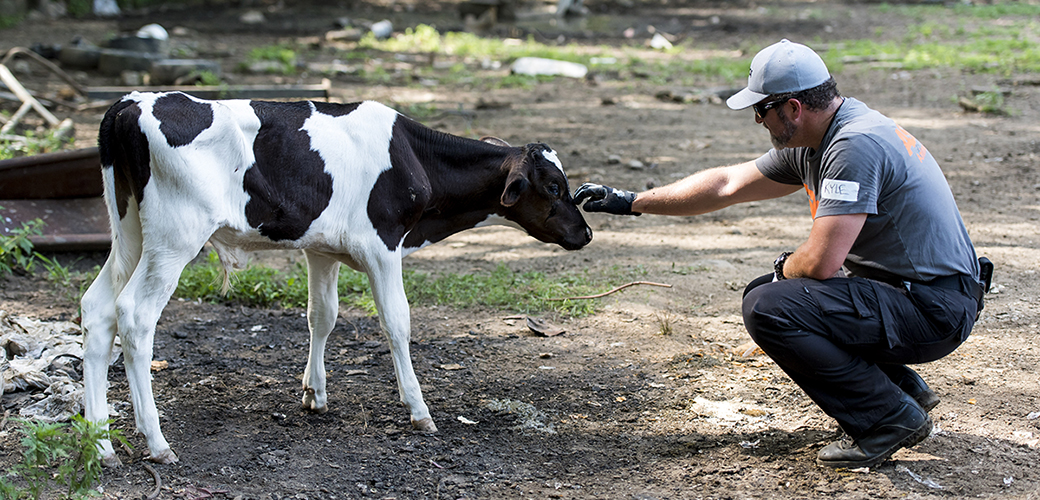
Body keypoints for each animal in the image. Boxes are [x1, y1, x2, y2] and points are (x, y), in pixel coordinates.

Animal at [83, 90, 594, 463]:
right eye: (553, 186)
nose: (586, 232)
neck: (412, 157)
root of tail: (130, 103)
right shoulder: (383, 244)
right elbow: (397, 323)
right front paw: (419, 410)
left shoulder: (321, 249)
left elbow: (321, 316)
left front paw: (315, 393)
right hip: (175, 237)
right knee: (135, 316)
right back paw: (156, 442)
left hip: (130, 233)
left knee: (97, 309)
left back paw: (101, 442)